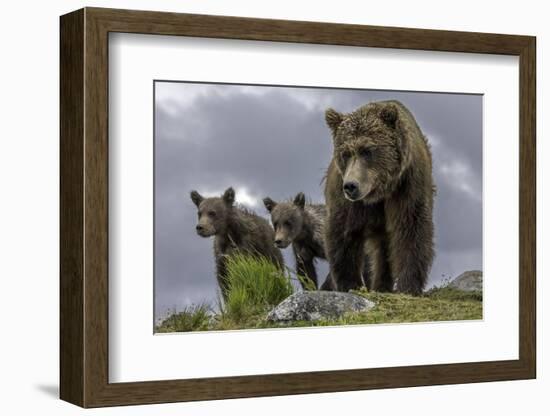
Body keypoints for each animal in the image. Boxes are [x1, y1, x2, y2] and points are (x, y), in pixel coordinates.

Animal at [324, 101, 436, 296]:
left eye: (367, 150)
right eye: (345, 153)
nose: (351, 186)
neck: (379, 192)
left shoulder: (407, 186)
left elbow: (412, 230)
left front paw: (409, 286)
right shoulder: (345, 197)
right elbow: (343, 233)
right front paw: (350, 284)